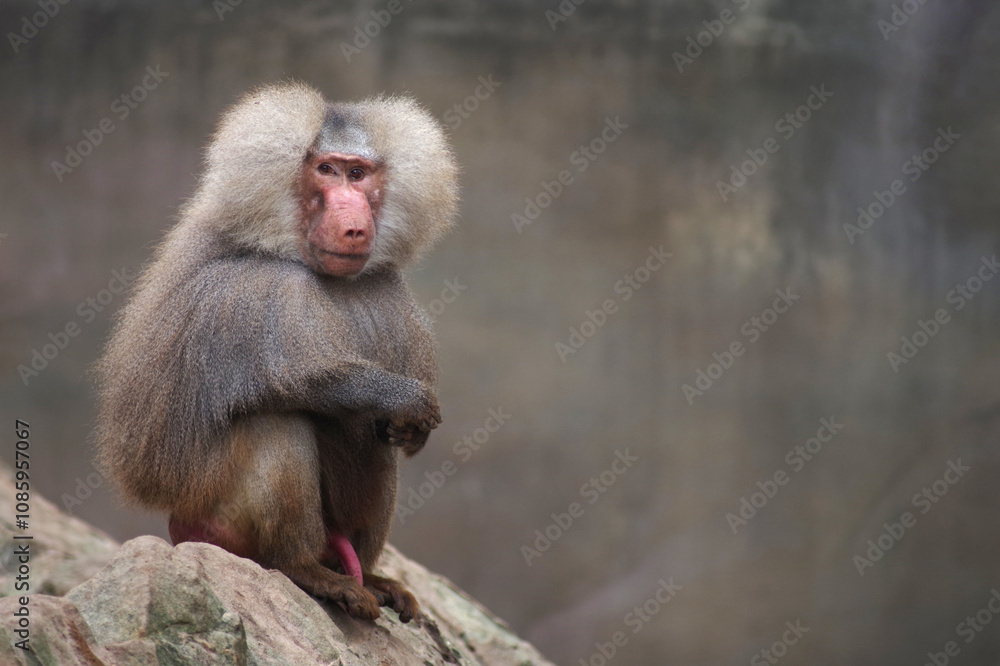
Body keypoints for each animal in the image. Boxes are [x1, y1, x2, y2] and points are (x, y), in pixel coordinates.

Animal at [94, 82, 458, 623]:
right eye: (326, 170)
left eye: (358, 173)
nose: (354, 226)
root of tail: (178, 525)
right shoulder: (264, 293)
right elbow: (310, 380)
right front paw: (408, 401)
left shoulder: (384, 289)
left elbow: (378, 425)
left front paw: (410, 428)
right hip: (211, 505)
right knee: (276, 421)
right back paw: (306, 570)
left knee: (372, 445)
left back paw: (367, 577)